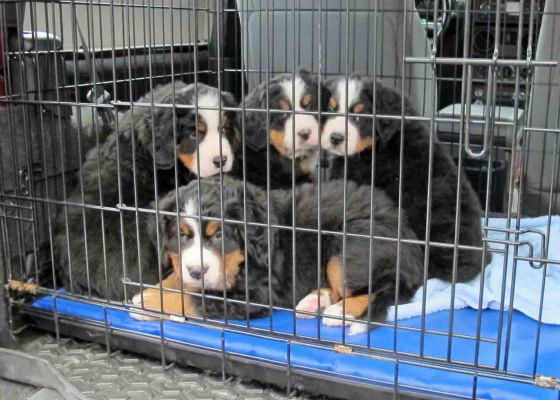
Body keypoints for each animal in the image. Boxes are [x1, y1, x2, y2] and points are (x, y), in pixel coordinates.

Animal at [129, 177, 422, 332]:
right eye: (182, 235)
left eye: (220, 234)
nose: (196, 271)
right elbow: (181, 281)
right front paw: (152, 291)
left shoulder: (259, 291)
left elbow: (196, 297)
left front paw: (151, 301)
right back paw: (314, 301)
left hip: (349, 248)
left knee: (390, 287)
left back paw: (343, 312)